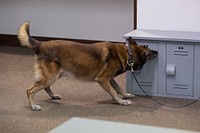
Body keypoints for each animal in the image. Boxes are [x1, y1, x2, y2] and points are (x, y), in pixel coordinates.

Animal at [17, 21, 158, 110]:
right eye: (149, 51)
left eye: (148, 47)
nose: (157, 52)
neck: (127, 53)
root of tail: (41, 44)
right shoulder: (103, 79)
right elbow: (113, 91)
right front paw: (121, 101)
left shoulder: (110, 78)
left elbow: (118, 88)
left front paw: (126, 95)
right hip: (51, 76)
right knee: (30, 90)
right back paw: (34, 105)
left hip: (55, 75)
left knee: (46, 87)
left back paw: (53, 95)